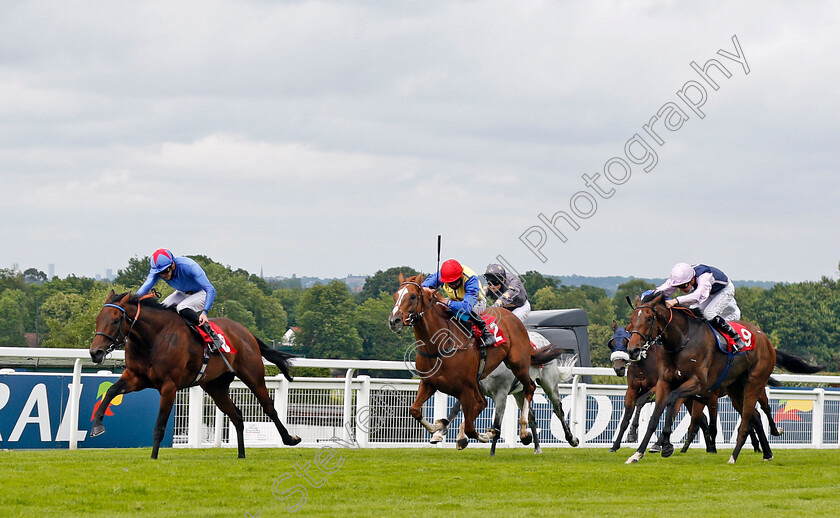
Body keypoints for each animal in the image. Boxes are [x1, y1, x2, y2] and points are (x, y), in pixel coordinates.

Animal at [88, 292, 298, 460]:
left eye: (115, 321)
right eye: (97, 319)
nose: (95, 353)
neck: (153, 339)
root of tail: (247, 332)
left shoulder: (169, 386)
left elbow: (159, 427)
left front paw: (153, 458)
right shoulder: (135, 378)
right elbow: (110, 391)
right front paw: (97, 425)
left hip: (253, 376)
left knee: (269, 408)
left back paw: (290, 438)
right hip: (216, 387)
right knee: (237, 415)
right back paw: (241, 454)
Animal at [388, 276, 564, 450]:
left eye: (412, 296)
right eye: (396, 295)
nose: (394, 321)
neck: (439, 345)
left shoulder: (468, 388)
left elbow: (471, 428)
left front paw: (487, 434)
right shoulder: (430, 383)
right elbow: (415, 410)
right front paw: (437, 427)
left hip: (518, 365)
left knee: (531, 389)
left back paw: (526, 431)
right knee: (485, 402)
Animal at [624, 292, 820, 468]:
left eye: (649, 318)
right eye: (632, 318)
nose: (633, 350)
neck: (682, 341)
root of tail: (767, 341)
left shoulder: (698, 384)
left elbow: (673, 401)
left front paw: (666, 445)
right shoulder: (665, 383)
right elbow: (654, 417)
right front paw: (637, 454)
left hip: (754, 384)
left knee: (749, 419)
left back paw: (735, 455)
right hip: (735, 390)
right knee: (755, 416)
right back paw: (767, 453)